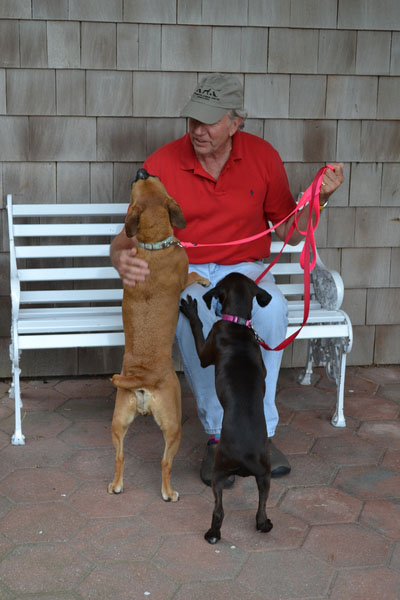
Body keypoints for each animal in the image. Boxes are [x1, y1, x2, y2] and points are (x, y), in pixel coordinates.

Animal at [109, 169, 209, 502]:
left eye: (143, 181)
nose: (141, 170)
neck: (152, 245)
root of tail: (142, 378)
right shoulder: (184, 274)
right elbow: (193, 274)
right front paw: (205, 280)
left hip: (118, 422)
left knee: (119, 457)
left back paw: (116, 485)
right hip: (173, 425)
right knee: (166, 462)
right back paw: (169, 492)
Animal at [180, 272, 274, 544]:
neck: (238, 323)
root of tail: (247, 457)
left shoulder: (205, 351)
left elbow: (198, 328)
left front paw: (191, 310)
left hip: (219, 472)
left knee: (219, 510)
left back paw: (213, 533)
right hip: (265, 476)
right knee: (261, 508)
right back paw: (264, 524)